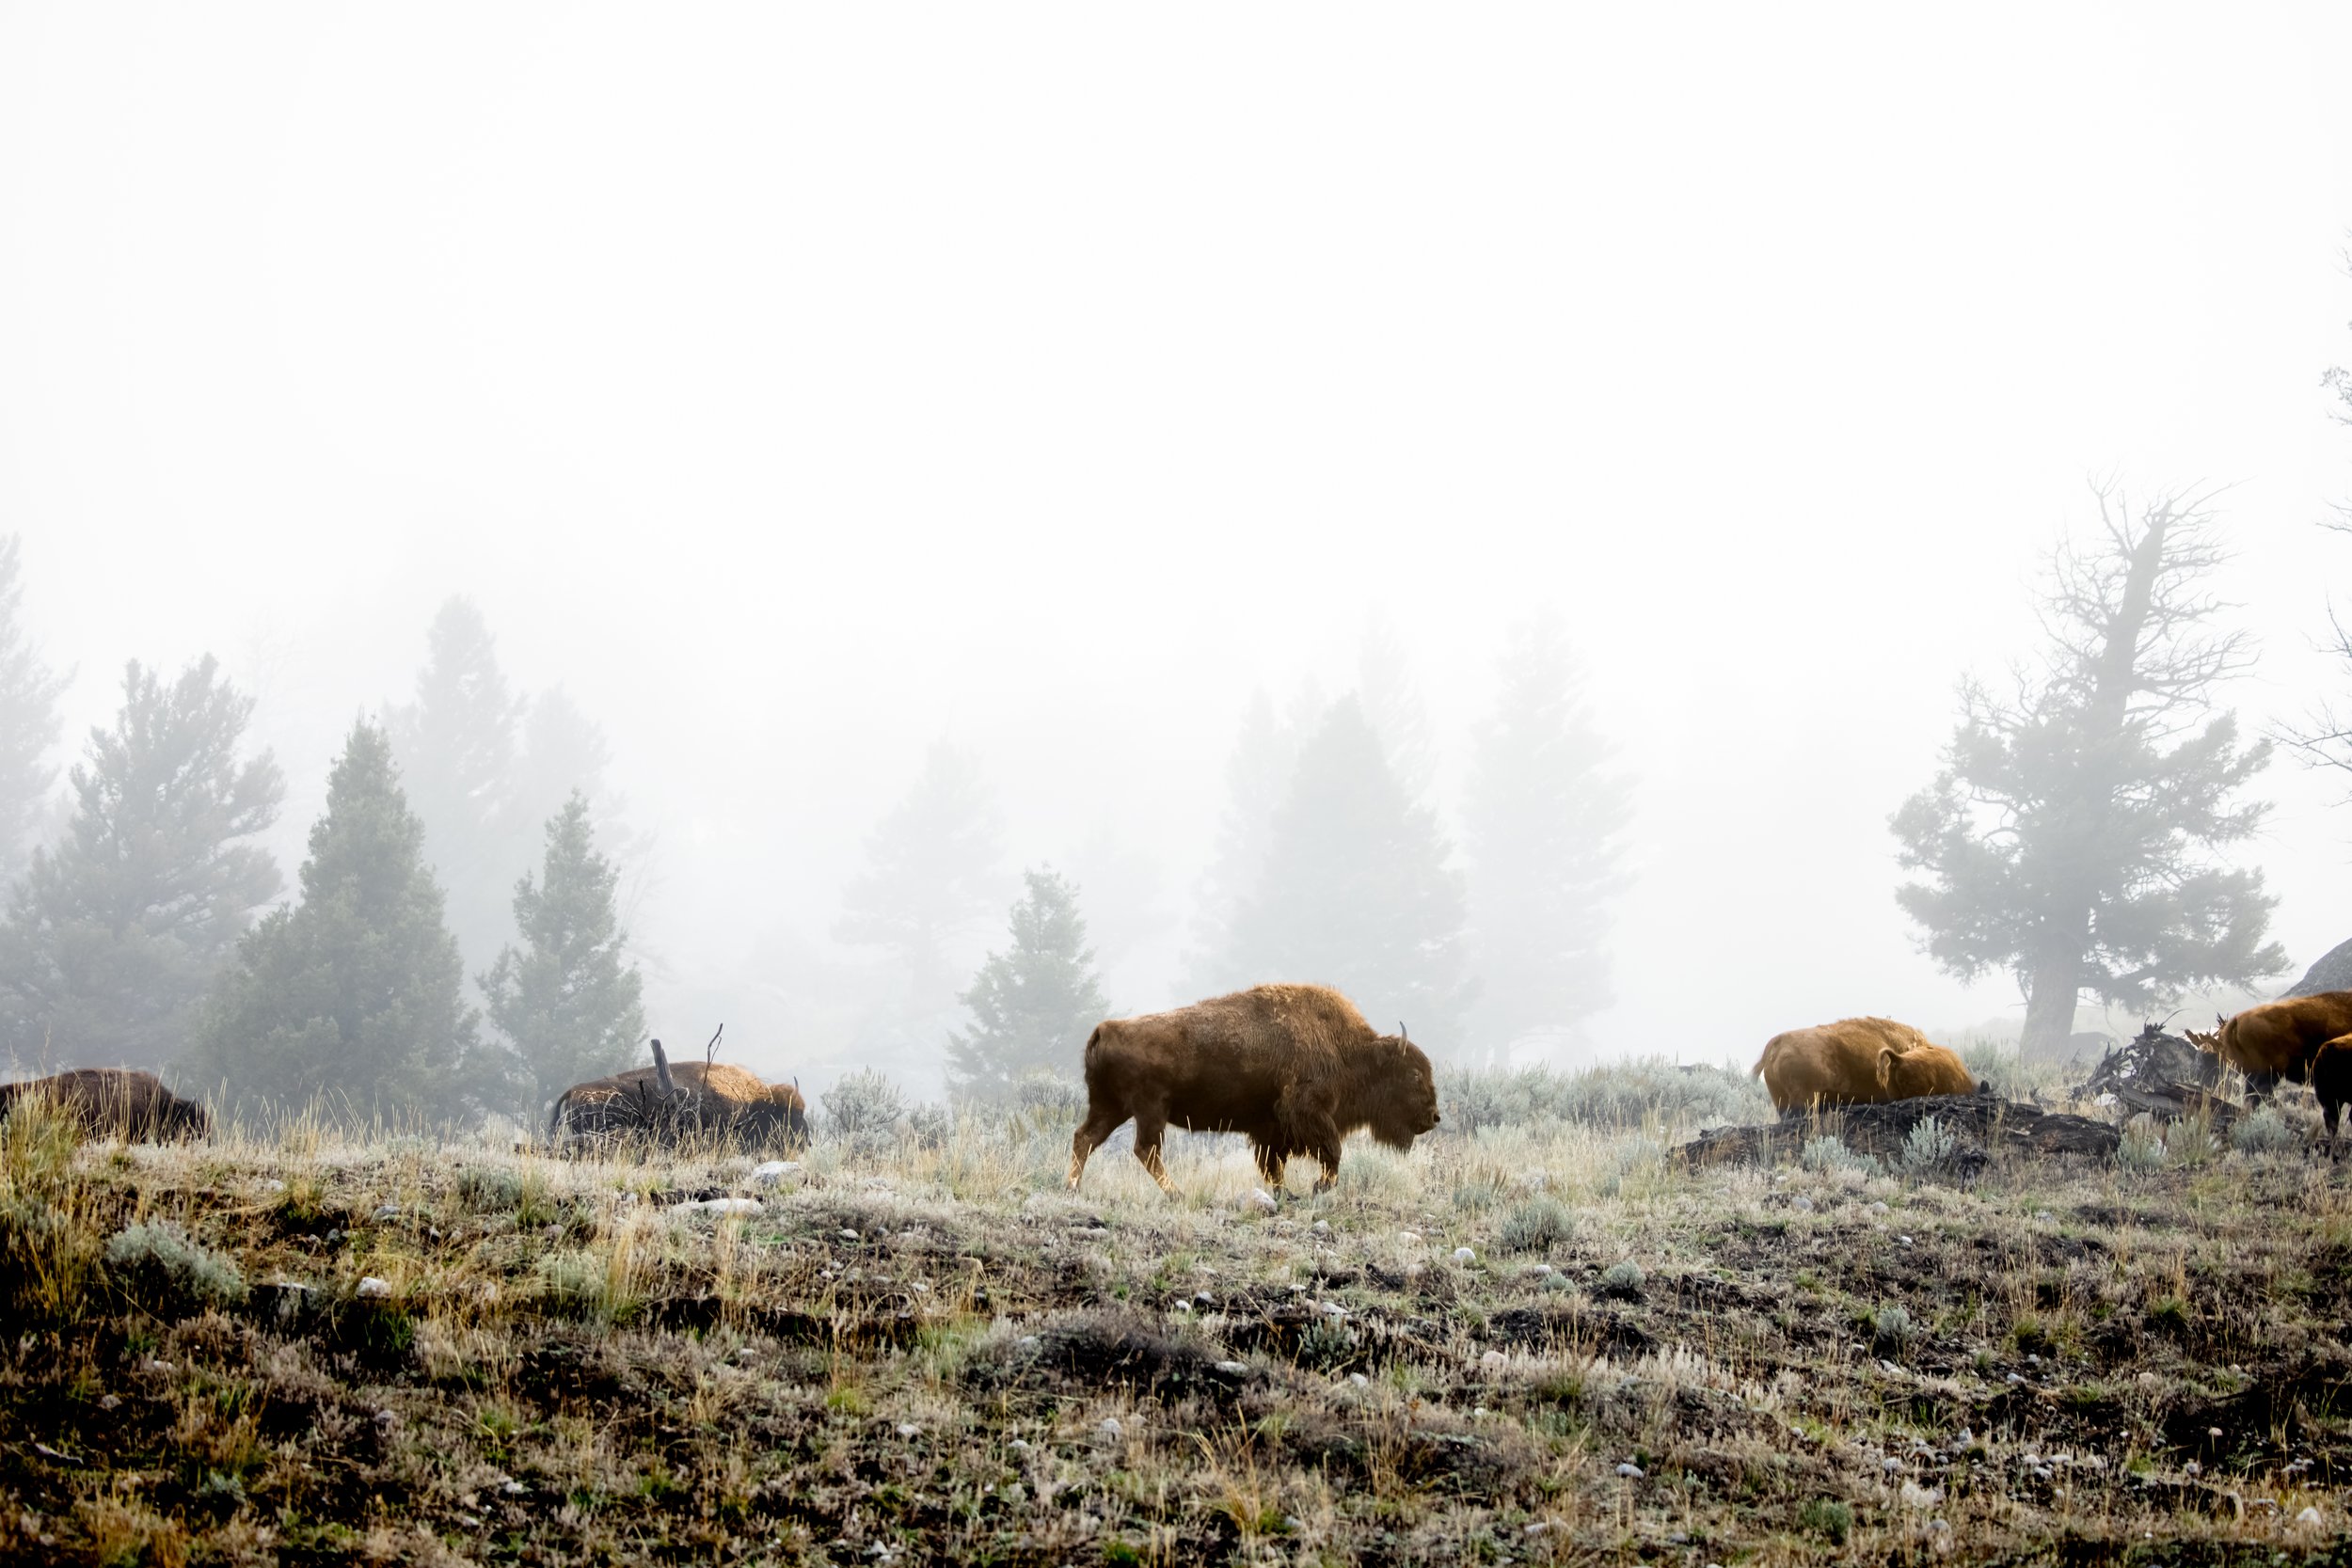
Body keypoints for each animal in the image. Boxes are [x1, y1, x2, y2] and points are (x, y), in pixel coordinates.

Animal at [1067, 983, 1441, 1198]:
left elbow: (1274, 1166)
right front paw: (1318, 1187)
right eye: (1413, 1074)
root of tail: (1106, 1029)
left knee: (1085, 1138)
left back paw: (1072, 1188)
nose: (1434, 1117)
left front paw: (1286, 1193)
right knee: (1146, 1150)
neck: (1346, 1049)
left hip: (1112, 1108)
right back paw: (1177, 1194)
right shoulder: (1308, 1113)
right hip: (1149, 1111)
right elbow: (1331, 1151)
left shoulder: (1270, 1130)